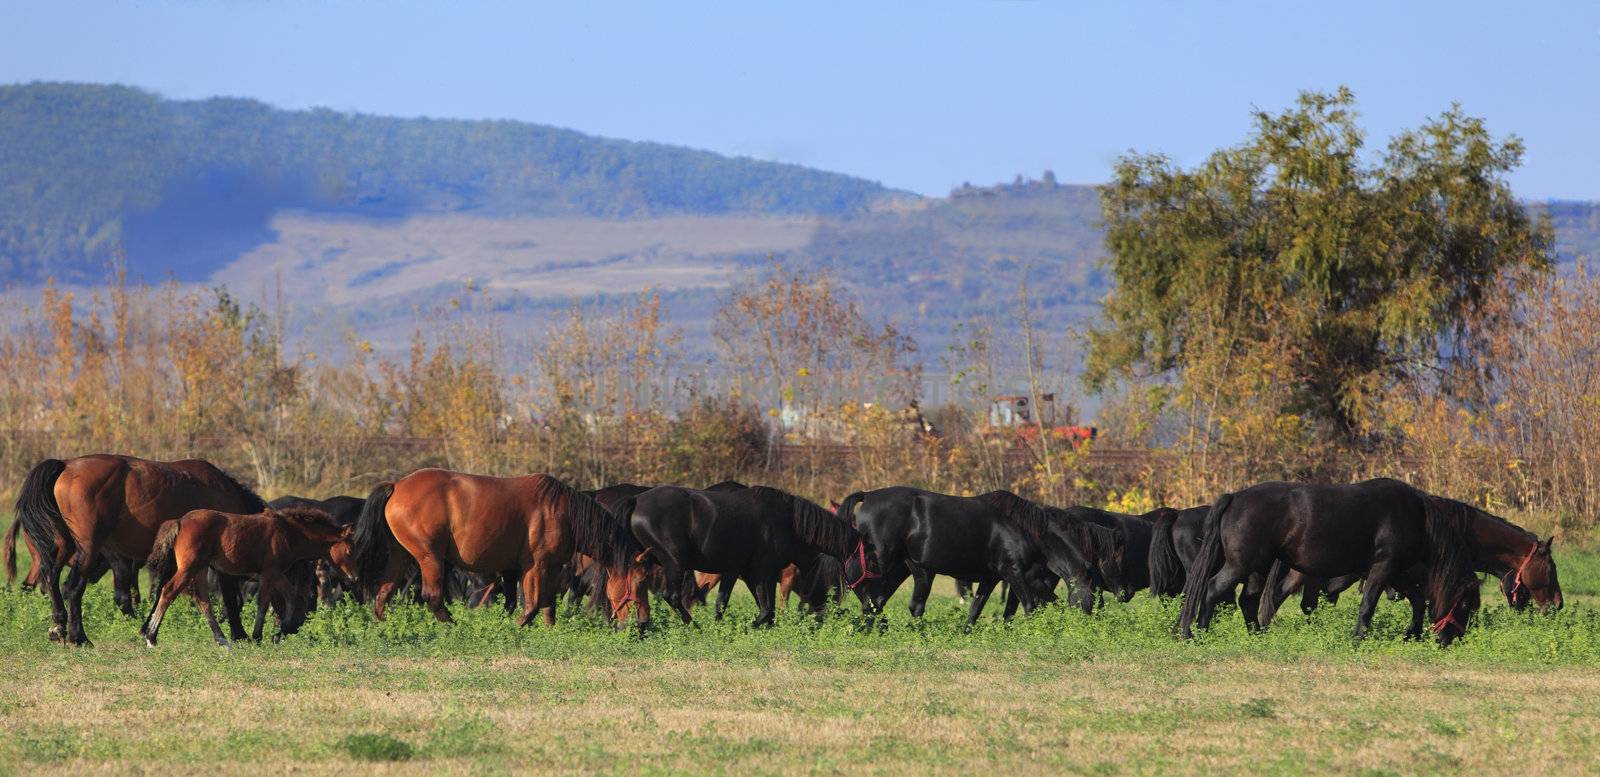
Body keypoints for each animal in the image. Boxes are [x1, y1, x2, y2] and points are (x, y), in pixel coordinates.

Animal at [17, 450, 267, 645]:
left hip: (64, 545)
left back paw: (58, 627)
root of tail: (66, 464)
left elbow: (161, 592)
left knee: (51, 577)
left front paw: (146, 629)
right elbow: (230, 597)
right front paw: (240, 634)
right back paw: (79, 637)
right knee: (72, 587)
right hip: (88, 547)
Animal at [140, 508, 356, 645]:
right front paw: (258, 636)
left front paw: (280, 633)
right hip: (189, 568)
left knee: (203, 601)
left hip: (199, 569)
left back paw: (222, 640)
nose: (352, 578)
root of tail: (179, 521)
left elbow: (291, 596)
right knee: (169, 591)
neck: (288, 532)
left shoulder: (275, 573)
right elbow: (264, 602)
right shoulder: (269, 572)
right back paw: (151, 637)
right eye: (349, 550)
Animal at [352, 470, 649, 626]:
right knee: (432, 596)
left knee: (383, 592)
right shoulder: (535, 566)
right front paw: (512, 628)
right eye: (640, 581)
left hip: (400, 556)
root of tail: (397, 485)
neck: (561, 511)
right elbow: (531, 605)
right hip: (429, 557)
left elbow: (546, 606)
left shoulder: (549, 567)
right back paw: (454, 626)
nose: (643, 624)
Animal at [620, 486, 870, 626]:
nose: (823, 614)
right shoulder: (765, 572)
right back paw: (693, 627)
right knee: (672, 596)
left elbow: (726, 603)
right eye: (870, 563)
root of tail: (637, 500)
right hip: (674, 563)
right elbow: (767, 609)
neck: (788, 522)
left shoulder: (741, 572)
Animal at [1184, 479, 1478, 642]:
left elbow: (1418, 601)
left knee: (1248, 600)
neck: (1416, 516)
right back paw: (1197, 634)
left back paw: (1257, 636)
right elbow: (1368, 604)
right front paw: (1358, 639)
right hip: (1241, 565)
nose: (1449, 640)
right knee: (1212, 590)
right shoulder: (1384, 567)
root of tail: (1234, 497)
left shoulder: (1397, 572)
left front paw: (1411, 635)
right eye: (1466, 605)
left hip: (1258, 568)